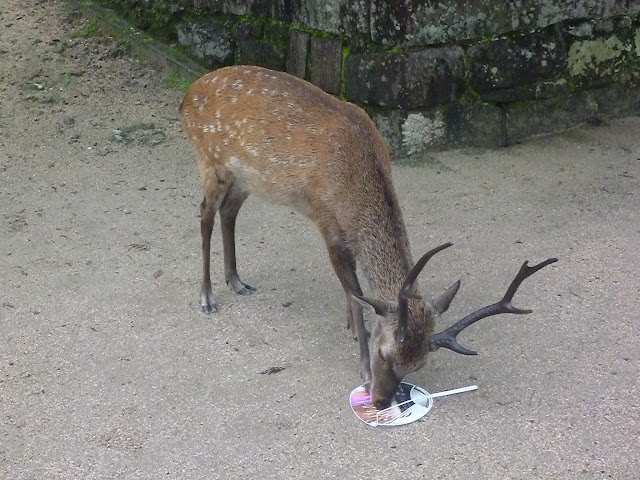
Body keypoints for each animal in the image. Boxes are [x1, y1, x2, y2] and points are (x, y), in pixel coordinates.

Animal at [179, 63, 556, 408]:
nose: (381, 401)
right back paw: (207, 296)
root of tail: (187, 95)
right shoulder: (327, 221)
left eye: (417, 365)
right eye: (383, 352)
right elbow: (355, 291)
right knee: (205, 214)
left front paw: (347, 322)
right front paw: (359, 359)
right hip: (209, 161)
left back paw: (236, 280)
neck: (356, 179)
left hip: (245, 177)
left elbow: (358, 295)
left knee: (229, 212)